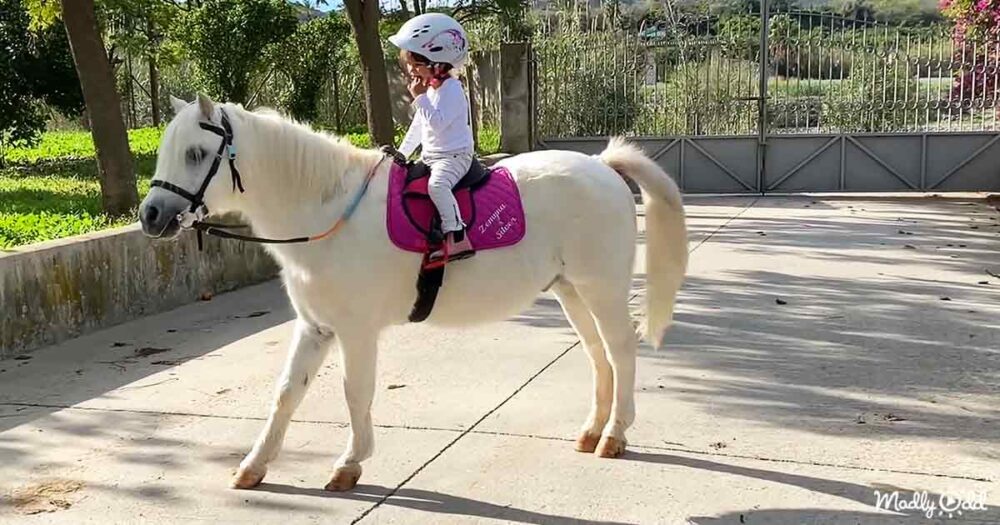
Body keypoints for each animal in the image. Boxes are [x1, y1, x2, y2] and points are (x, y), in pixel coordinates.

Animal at [139, 94, 688, 492]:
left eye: (196, 153)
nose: (150, 215)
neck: (329, 212)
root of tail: (604, 166)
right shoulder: (316, 328)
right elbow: (286, 394)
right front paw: (254, 466)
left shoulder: (356, 332)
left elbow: (354, 392)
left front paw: (349, 463)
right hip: (570, 290)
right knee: (599, 355)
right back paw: (594, 430)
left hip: (602, 288)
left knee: (621, 350)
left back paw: (614, 435)